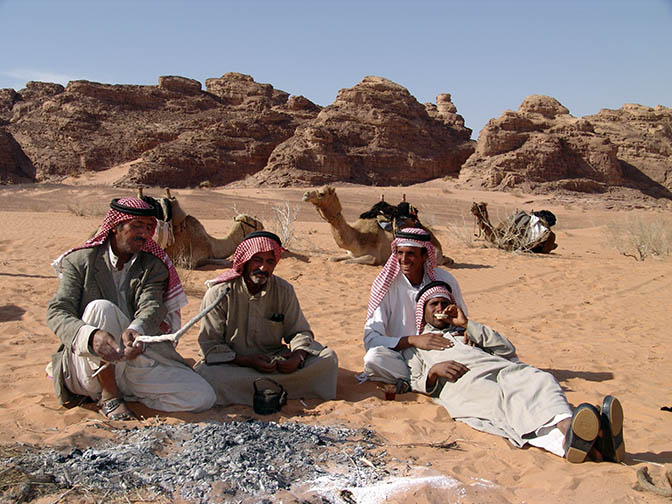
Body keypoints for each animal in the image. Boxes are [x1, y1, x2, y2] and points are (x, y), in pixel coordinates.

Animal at [302, 184, 454, 264]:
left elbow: (347, 262)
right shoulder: (351, 254)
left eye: (321, 193)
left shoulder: (374, 257)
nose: (305, 194)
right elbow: (332, 258)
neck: (357, 237)